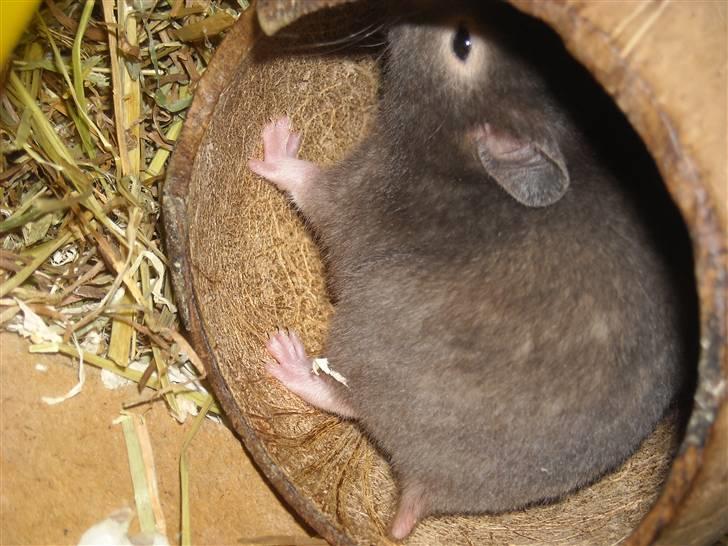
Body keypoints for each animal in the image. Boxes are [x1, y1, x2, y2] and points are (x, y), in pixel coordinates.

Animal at [248, 1, 692, 540]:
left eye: (462, 43)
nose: (395, 13)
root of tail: (428, 491)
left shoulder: (358, 189)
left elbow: (306, 182)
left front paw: (276, 137)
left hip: (362, 337)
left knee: (344, 397)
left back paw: (285, 356)